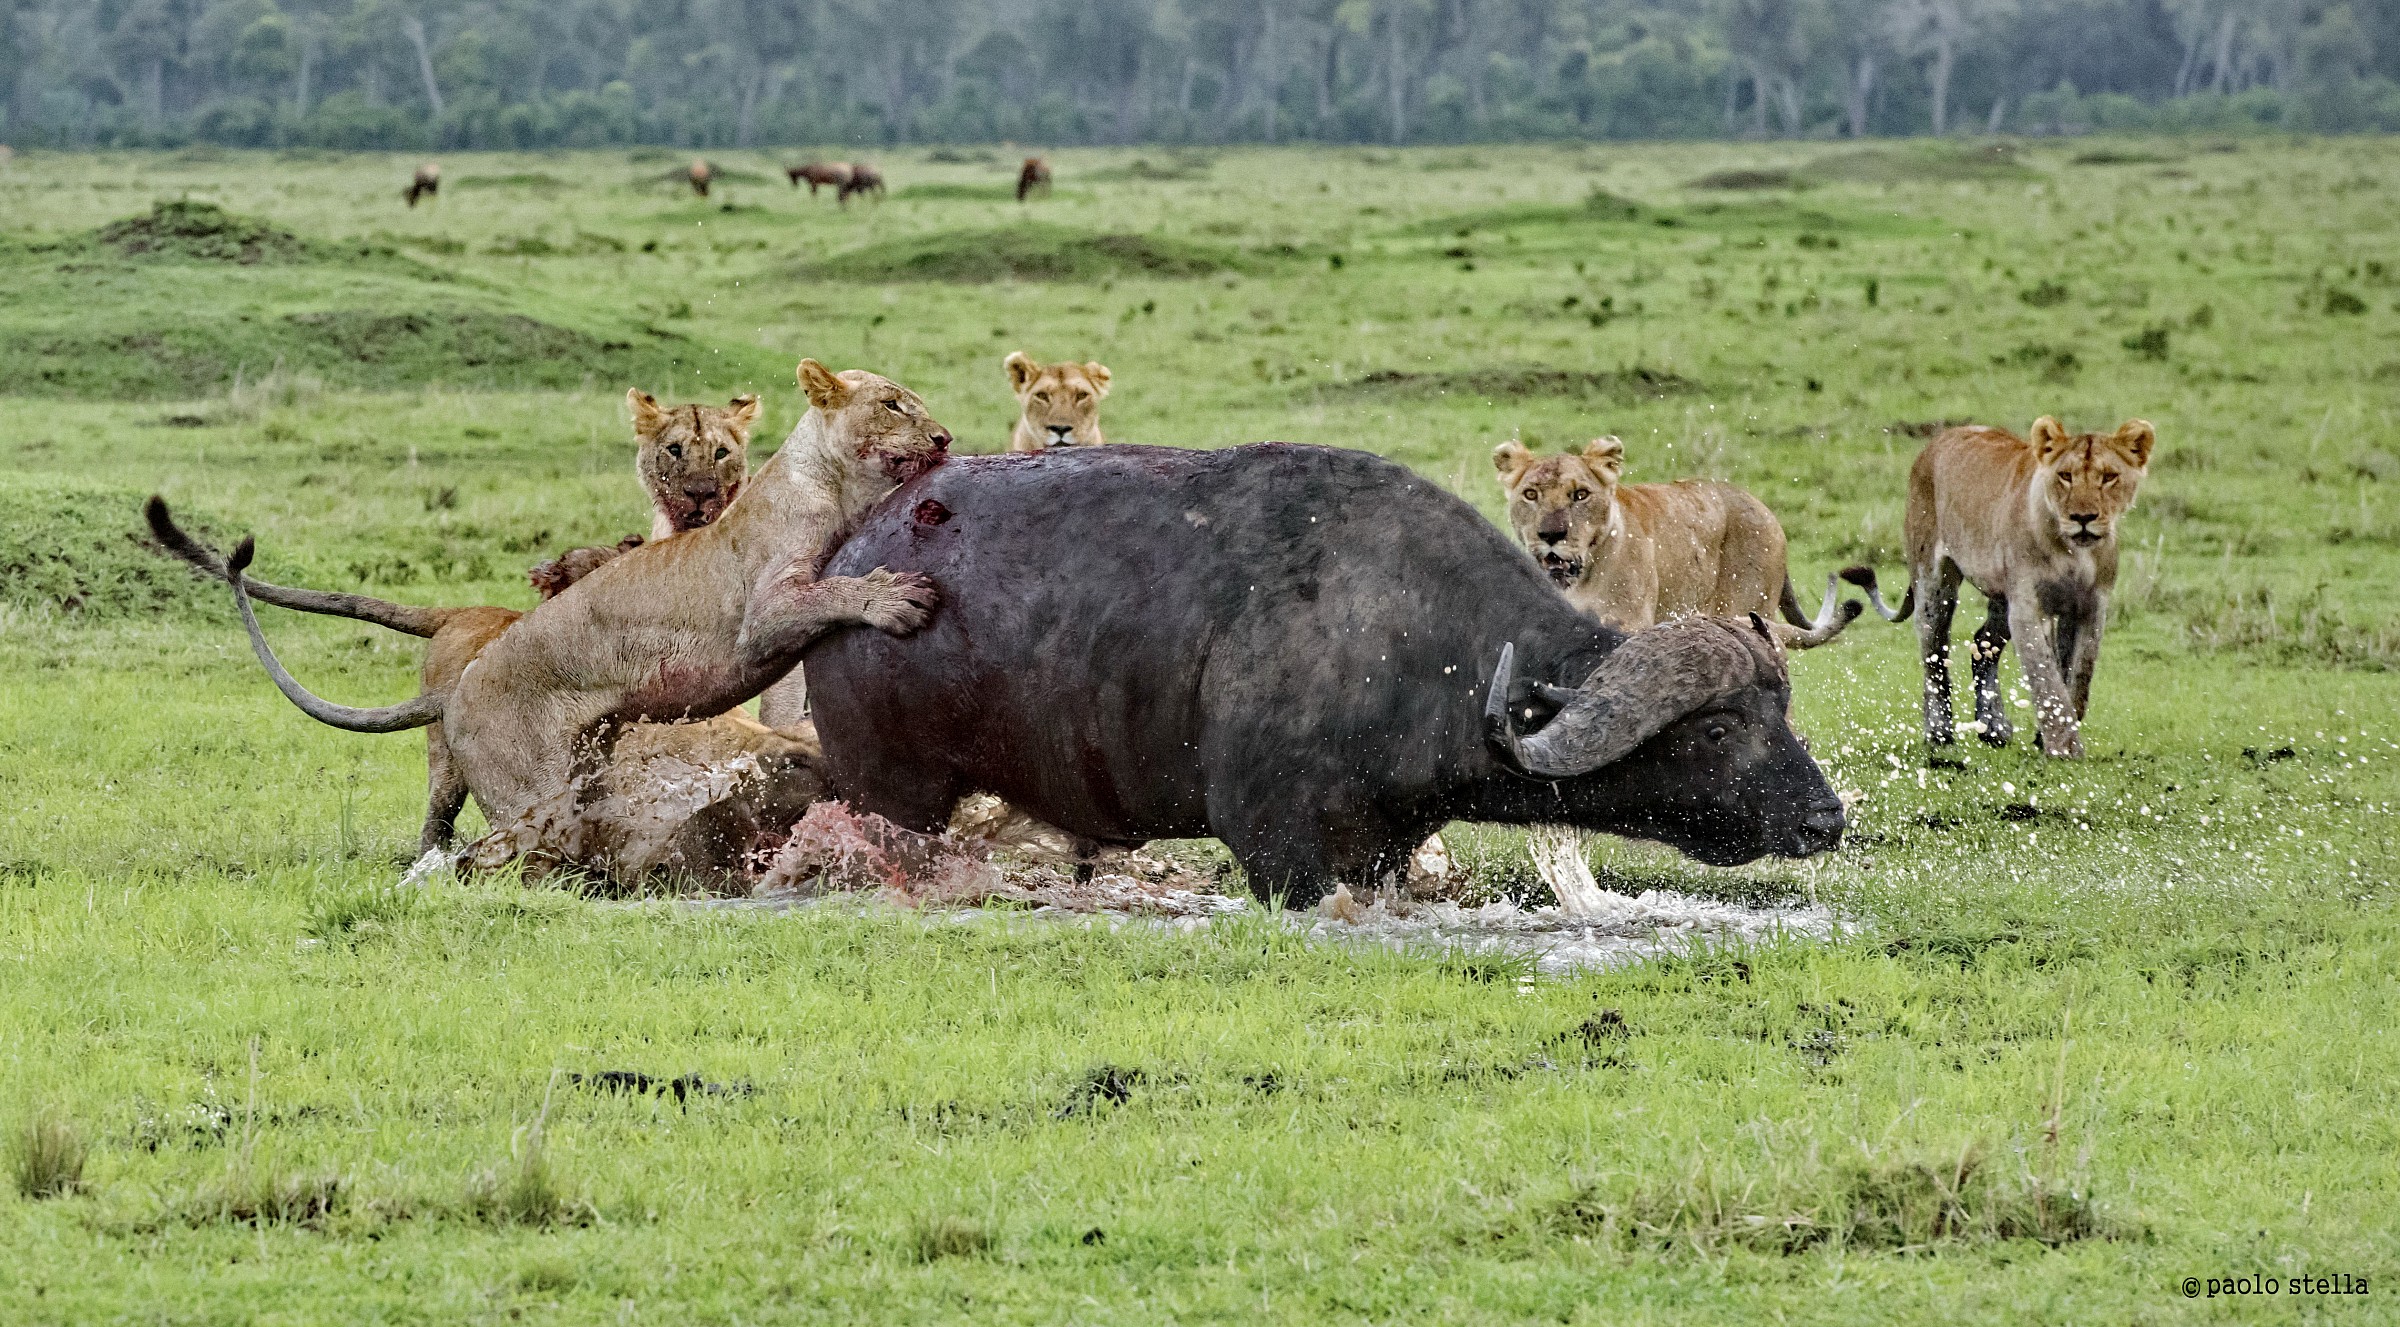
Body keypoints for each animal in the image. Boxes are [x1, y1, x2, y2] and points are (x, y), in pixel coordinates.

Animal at [803, 444, 1844, 904]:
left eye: (1781, 717)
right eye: (1719, 728)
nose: (1825, 819)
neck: (1418, 645)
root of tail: (854, 558)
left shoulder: (1379, 849)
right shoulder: (1276, 846)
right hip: (895, 792)